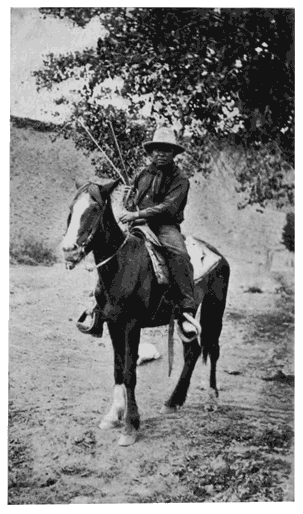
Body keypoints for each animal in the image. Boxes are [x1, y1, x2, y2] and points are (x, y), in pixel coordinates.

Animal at [63, 179, 232, 444]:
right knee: (193, 351)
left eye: (94, 209)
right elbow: (118, 369)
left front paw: (131, 426)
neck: (122, 265)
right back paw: (173, 402)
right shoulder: (113, 323)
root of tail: (219, 256)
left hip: (215, 309)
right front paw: (113, 415)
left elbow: (130, 372)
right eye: (72, 209)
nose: (68, 250)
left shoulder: (132, 325)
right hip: (184, 318)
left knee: (212, 349)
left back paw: (212, 399)